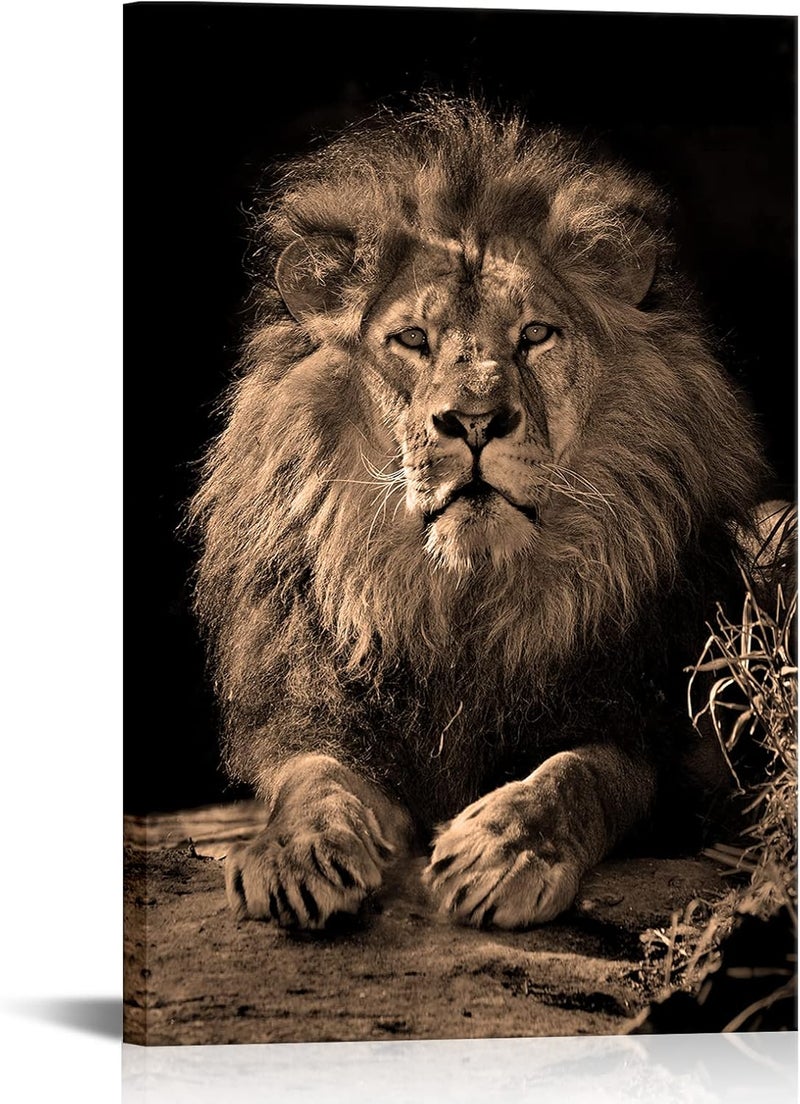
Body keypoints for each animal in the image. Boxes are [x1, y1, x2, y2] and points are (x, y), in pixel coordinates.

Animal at [191, 98, 769, 931]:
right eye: (411, 339)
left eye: (534, 335)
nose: (474, 420)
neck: (463, 598)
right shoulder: (316, 714)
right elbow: (313, 777)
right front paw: (298, 853)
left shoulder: (650, 734)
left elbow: (578, 773)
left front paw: (505, 848)